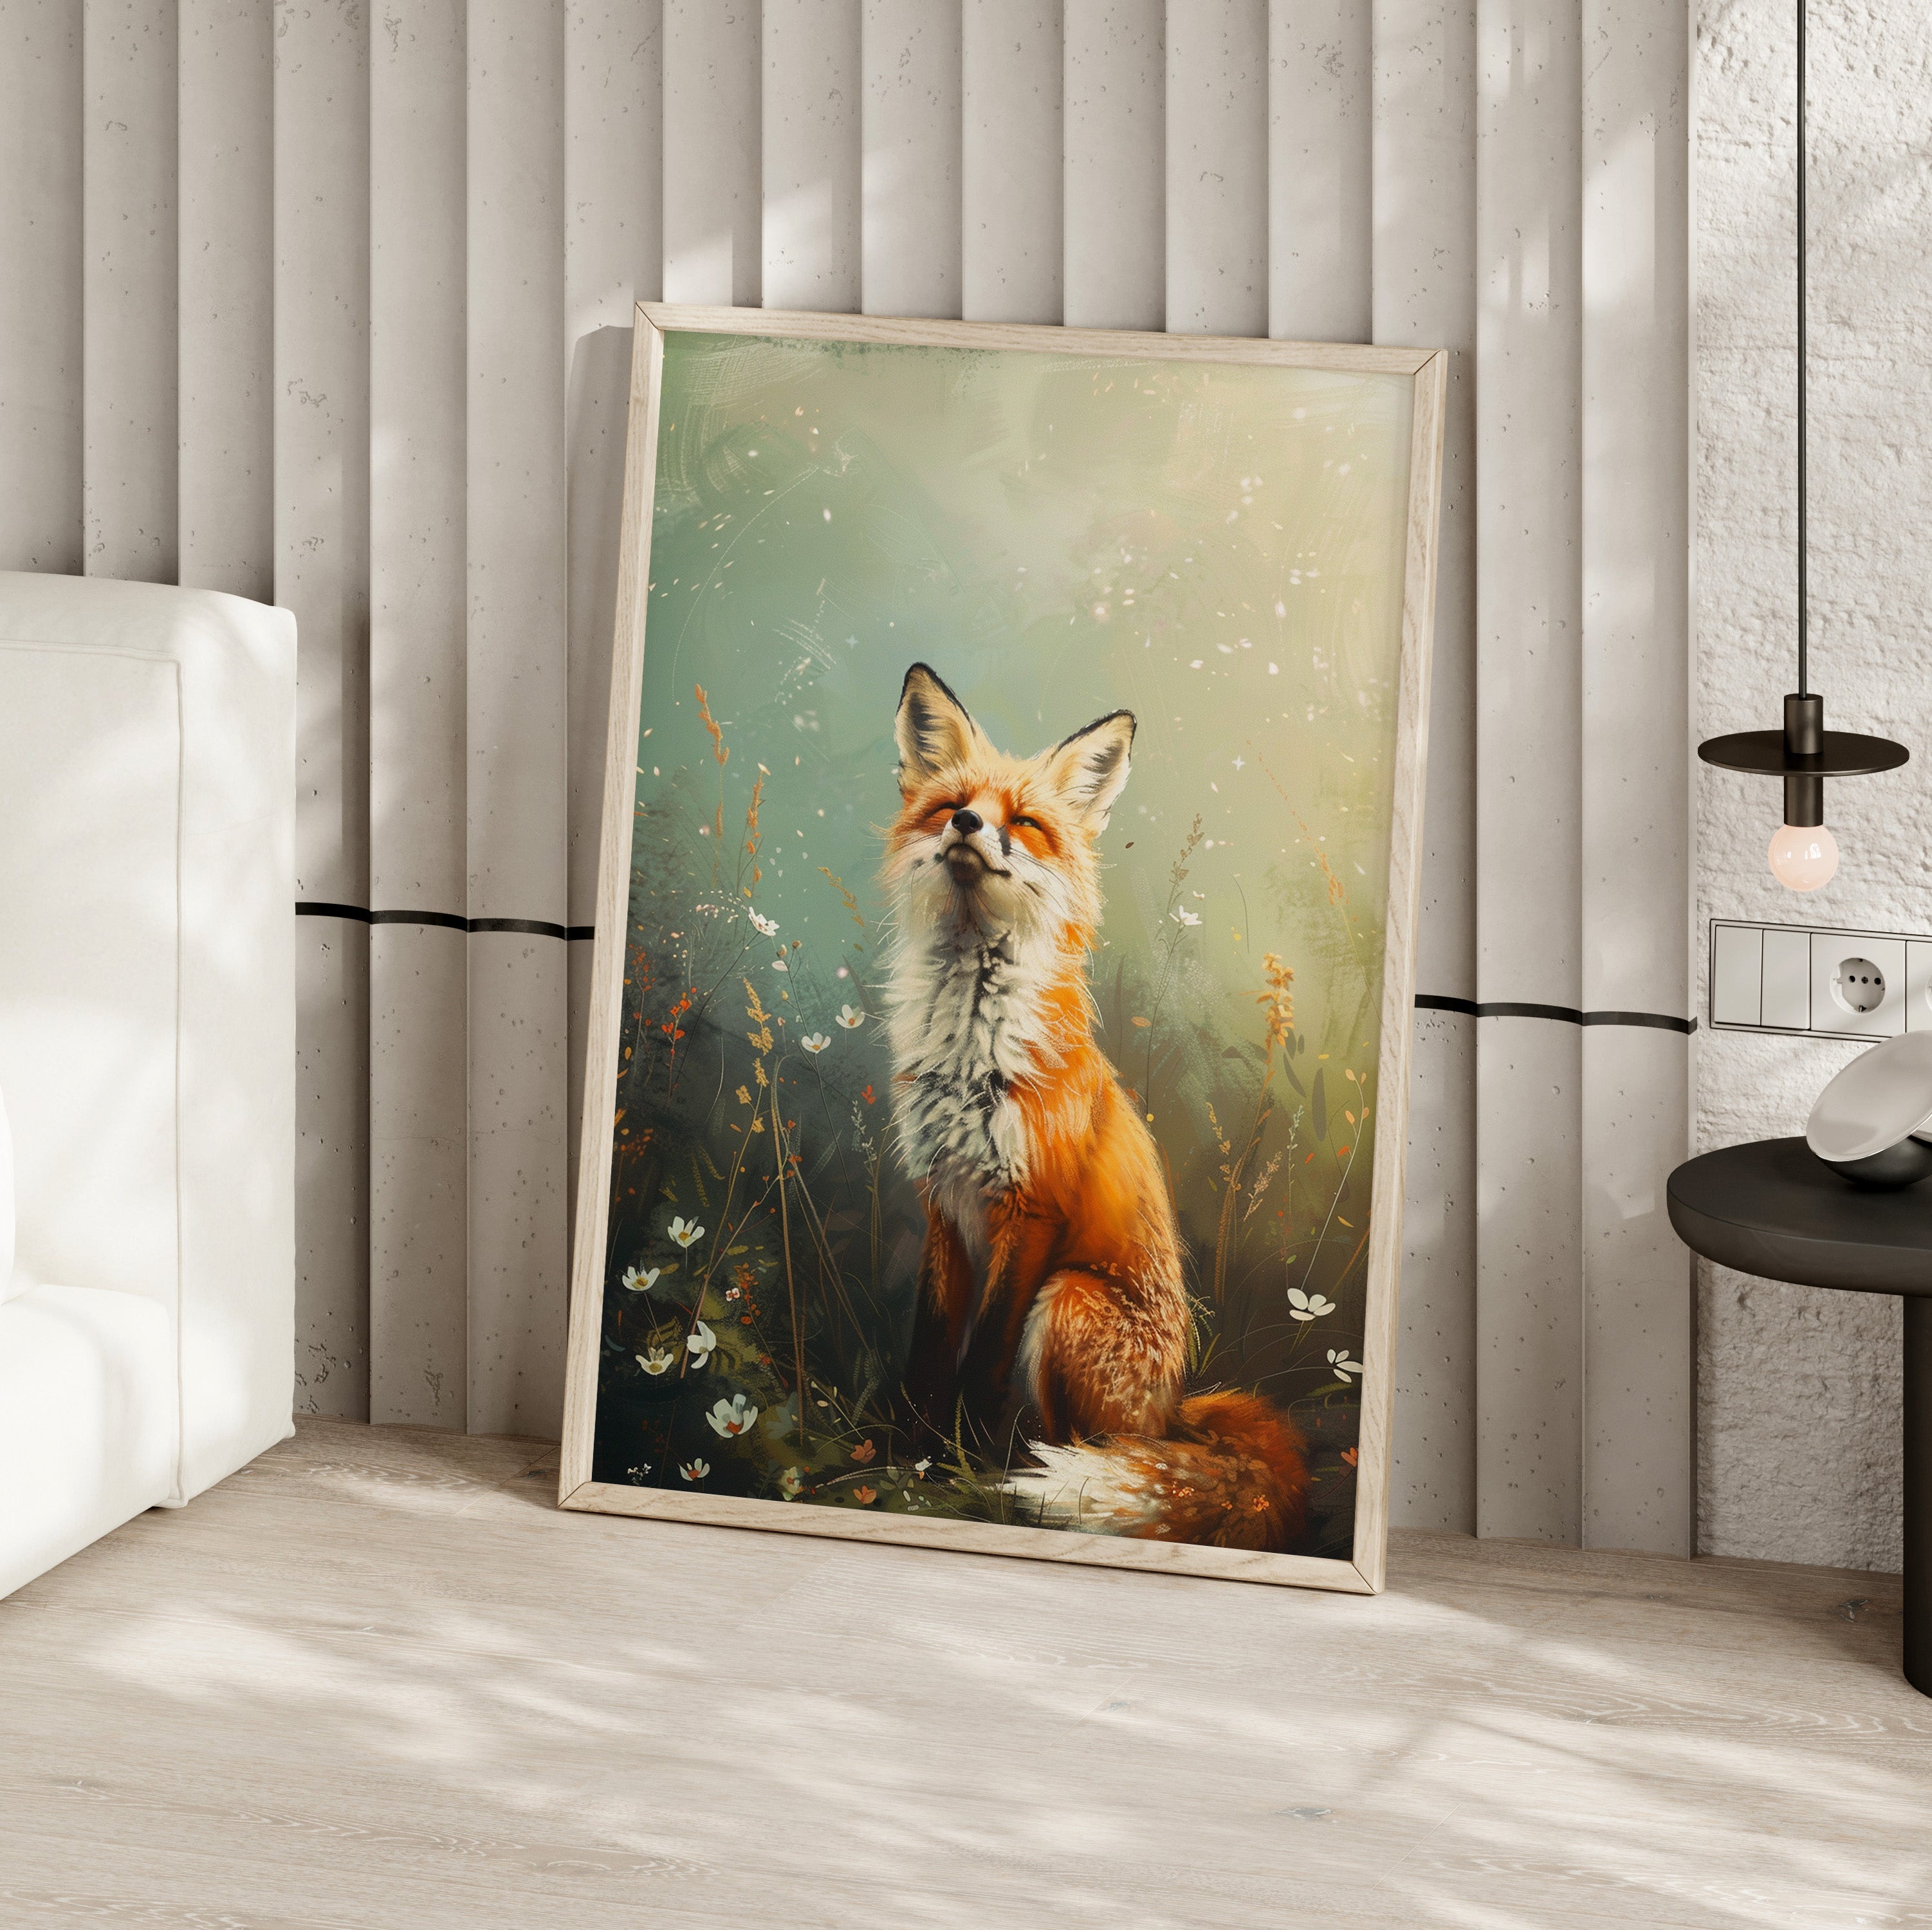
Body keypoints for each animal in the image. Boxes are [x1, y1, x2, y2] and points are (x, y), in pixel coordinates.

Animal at [880, 663, 1308, 1553]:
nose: (969, 824)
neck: (971, 1046)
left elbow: (979, 1364)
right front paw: (910, 1455)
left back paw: (1043, 1482)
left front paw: (959, 1466)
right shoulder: (943, 1202)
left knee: (1089, 1446)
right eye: (952, 805)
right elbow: (930, 1350)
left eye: (1026, 823)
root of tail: (1175, 1412)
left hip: (1069, 1300)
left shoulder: (1032, 1208)